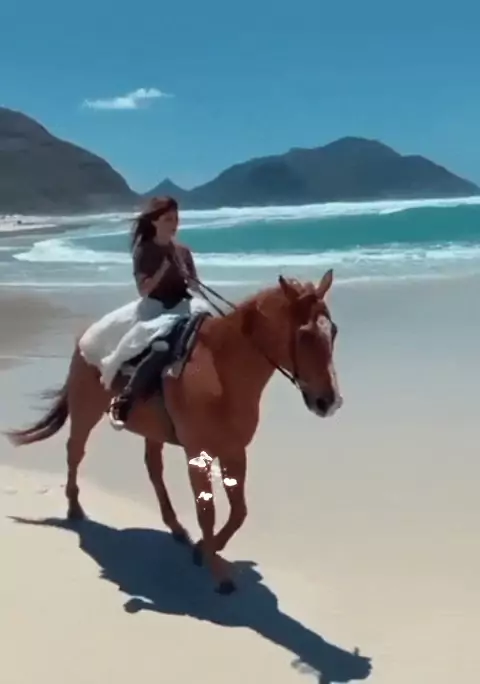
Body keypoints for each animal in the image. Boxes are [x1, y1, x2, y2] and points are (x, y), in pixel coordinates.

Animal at [5, 270, 342, 594]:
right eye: (304, 335)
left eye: (334, 331)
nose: (328, 401)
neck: (221, 369)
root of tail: (85, 336)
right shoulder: (198, 453)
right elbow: (207, 511)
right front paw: (218, 573)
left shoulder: (234, 451)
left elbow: (239, 512)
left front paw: (205, 549)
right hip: (85, 411)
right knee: (75, 452)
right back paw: (75, 509)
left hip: (150, 432)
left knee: (153, 470)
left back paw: (177, 530)